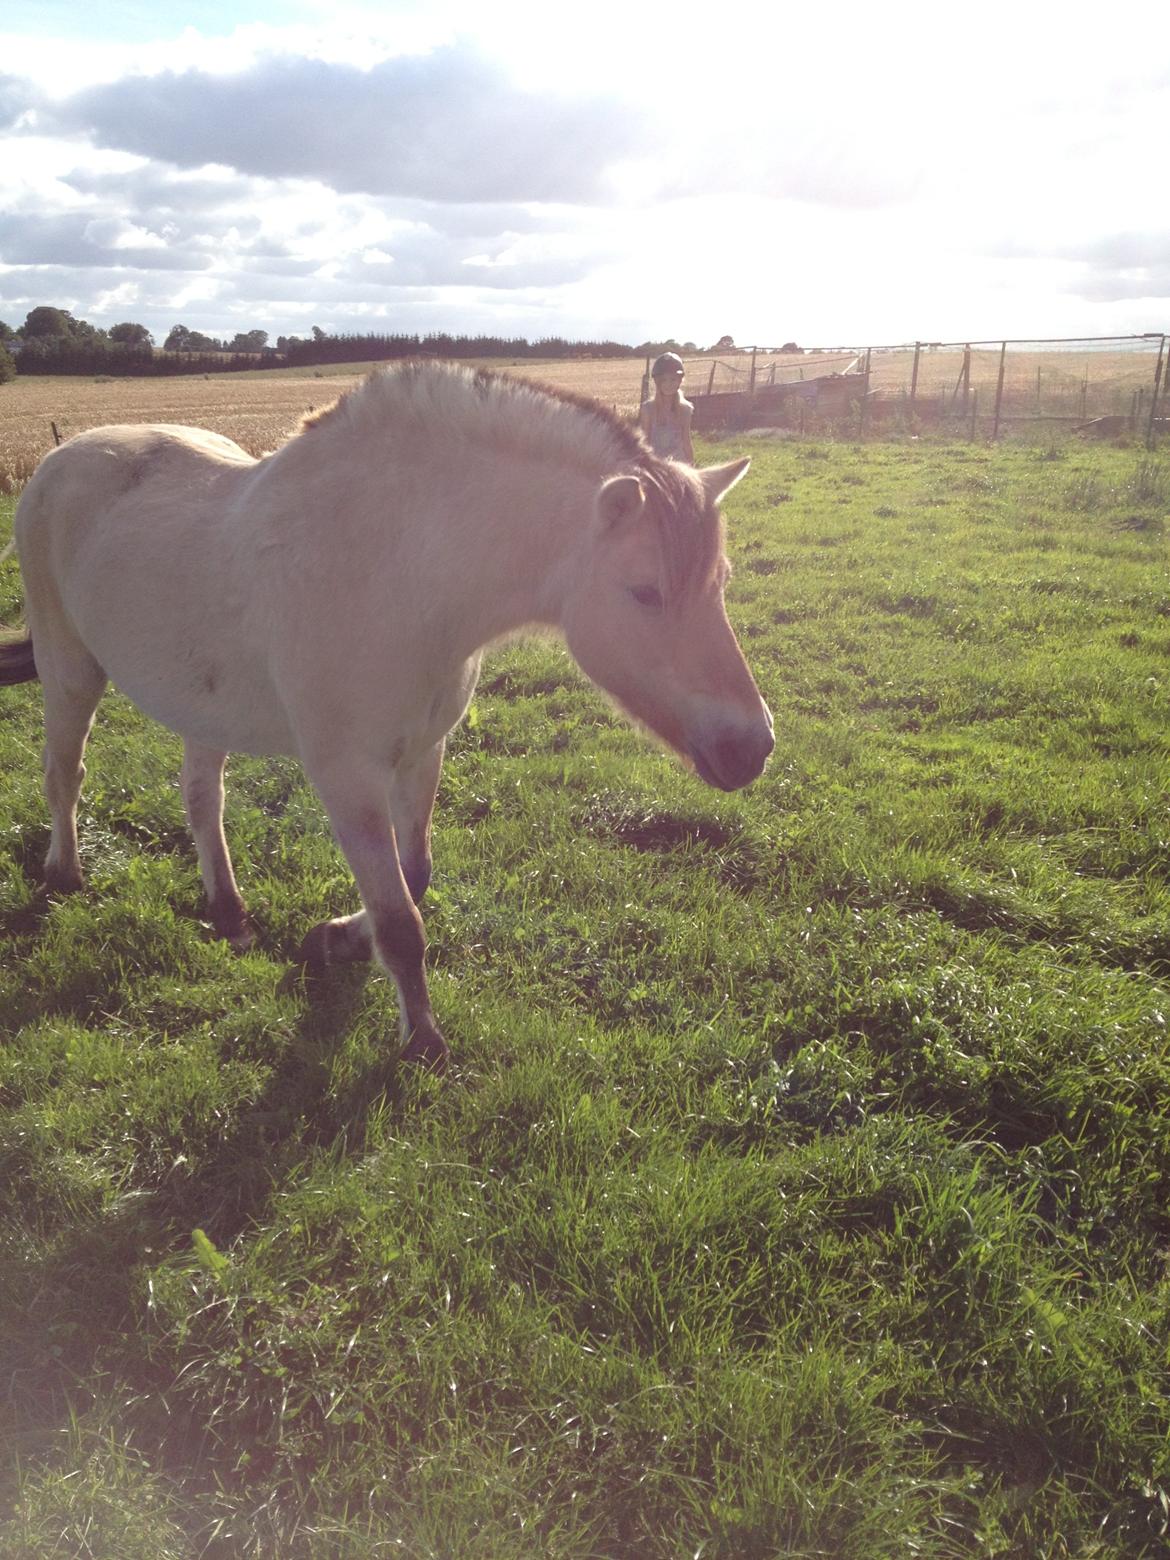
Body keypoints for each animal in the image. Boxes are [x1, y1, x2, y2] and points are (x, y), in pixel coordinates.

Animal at [4, 363, 773, 1067]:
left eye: (720, 582)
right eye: (644, 592)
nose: (752, 747)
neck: (398, 572)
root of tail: (57, 461)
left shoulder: (422, 754)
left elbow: (415, 876)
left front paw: (340, 938)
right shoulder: (347, 778)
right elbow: (401, 919)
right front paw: (421, 1040)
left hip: (202, 705)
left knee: (200, 798)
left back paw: (229, 910)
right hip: (70, 671)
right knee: (63, 774)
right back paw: (65, 873)